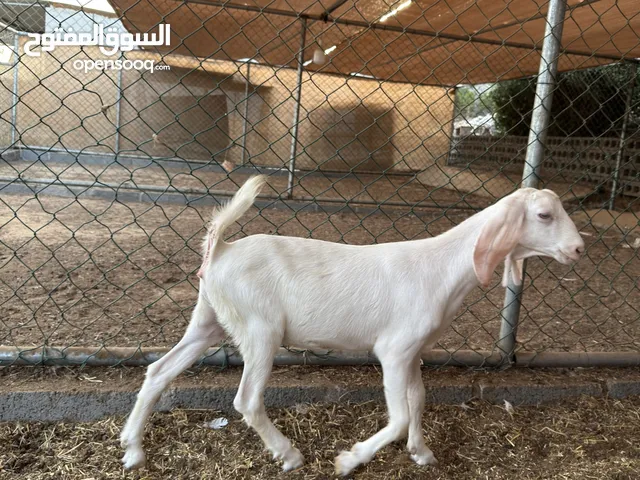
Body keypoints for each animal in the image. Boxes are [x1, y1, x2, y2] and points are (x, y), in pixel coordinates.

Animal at [120, 175, 584, 476]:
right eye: (544, 215)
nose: (579, 248)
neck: (441, 268)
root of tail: (220, 249)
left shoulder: (414, 352)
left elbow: (418, 400)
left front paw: (421, 452)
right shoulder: (394, 351)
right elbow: (399, 416)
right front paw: (349, 460)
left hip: (209, 321)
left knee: (158, 370)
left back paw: (132, 449)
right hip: (259, 329)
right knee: (247, 399)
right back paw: (289, 455)